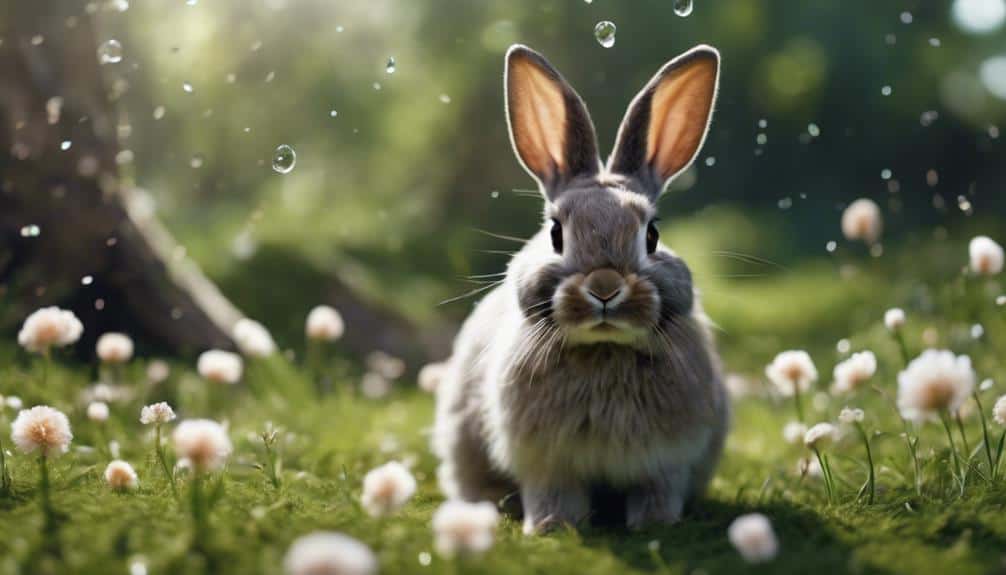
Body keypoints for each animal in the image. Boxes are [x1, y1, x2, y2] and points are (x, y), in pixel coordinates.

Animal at [432, 43, 728, 534]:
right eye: (555, 233)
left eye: (652, 235)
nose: (605, 287)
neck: (604, 350)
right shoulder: (546, 463)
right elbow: (554, 493)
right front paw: (550, 526)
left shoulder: (666, 463)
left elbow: (657, 491)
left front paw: (655, 524)